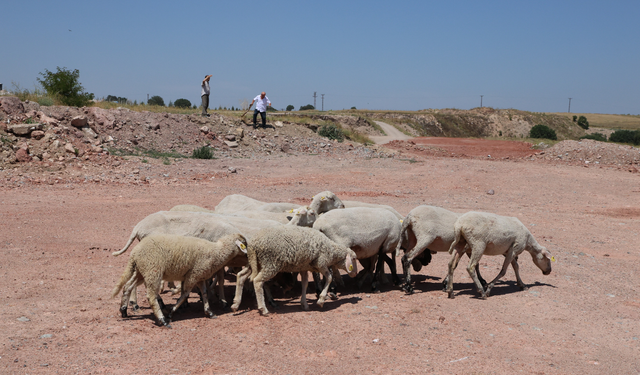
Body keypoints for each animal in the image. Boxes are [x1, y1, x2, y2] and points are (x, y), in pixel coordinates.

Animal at [111, 234, 246, 328]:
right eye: (245, 244)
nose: (248, 256)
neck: (217, 252)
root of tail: (135, 252)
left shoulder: (200, 276)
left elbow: (204, 293)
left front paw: (209, 312)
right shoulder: (193, 275)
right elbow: (184, 294)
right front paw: (172, 312)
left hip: (141, 271)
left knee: (127, 286)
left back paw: (123, 310)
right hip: (153, 271)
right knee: (151, 296)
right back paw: (163, 320)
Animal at [231, 225, 360, 316]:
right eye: (354, 258)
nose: (355, 274)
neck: (332, 251)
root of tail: (253, 245)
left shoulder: (303, 267)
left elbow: (305, 284)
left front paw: (304, 304)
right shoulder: (321, 264)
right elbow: (329, 278)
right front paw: (321, 300)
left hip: (254, 263)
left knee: (241, 276)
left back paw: (235, 304)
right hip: (270, 263)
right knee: (257, 281)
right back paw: (263, 309)